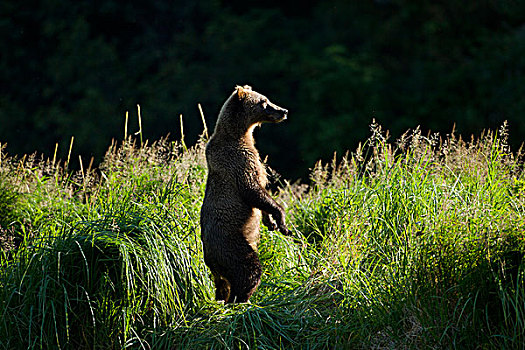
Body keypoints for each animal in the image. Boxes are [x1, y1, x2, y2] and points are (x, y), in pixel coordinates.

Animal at [200, 85, 290, 304]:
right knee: (248, 269)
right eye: (264, 102)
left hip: (221, 265)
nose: (284, 111)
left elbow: (261, 194)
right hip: (231, 244)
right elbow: (252, 189)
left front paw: (271, 223)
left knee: (222, 285)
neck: (240, 134)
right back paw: (242, 299)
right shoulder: (238, 161)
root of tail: (209, 259)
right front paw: (281, 219)